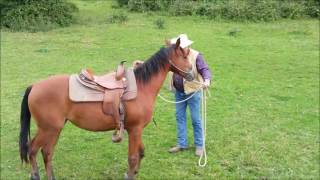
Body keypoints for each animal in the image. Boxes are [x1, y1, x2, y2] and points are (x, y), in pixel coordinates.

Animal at [20, 38, 195, 180]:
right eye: (184, 56)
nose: (192, 75)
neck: (141, 87)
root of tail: (34, 86)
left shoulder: (136, 130)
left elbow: (141, 152)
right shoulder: (135, 129)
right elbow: (133, 157)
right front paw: (130, 175)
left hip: (55, 129)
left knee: (47, 153)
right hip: (48, 129)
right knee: (32, 150)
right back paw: (35, 175)